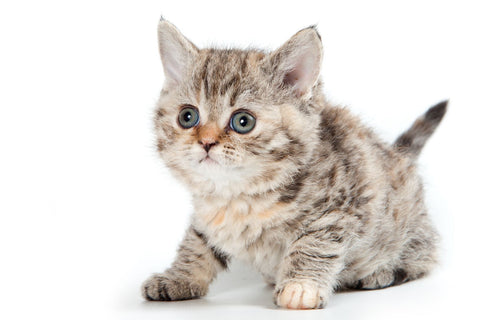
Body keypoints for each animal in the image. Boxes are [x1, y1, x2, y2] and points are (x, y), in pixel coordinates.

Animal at [142, 20, 446, 310]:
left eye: (243, 121)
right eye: (187, 117)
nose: (206, 142)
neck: (239, 196)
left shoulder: (340, 208)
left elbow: (313, 244)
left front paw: (300, 288)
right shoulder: (205, 219)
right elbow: (196, 245)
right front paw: (178, 278)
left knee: (423, 257)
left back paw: (380, 273)